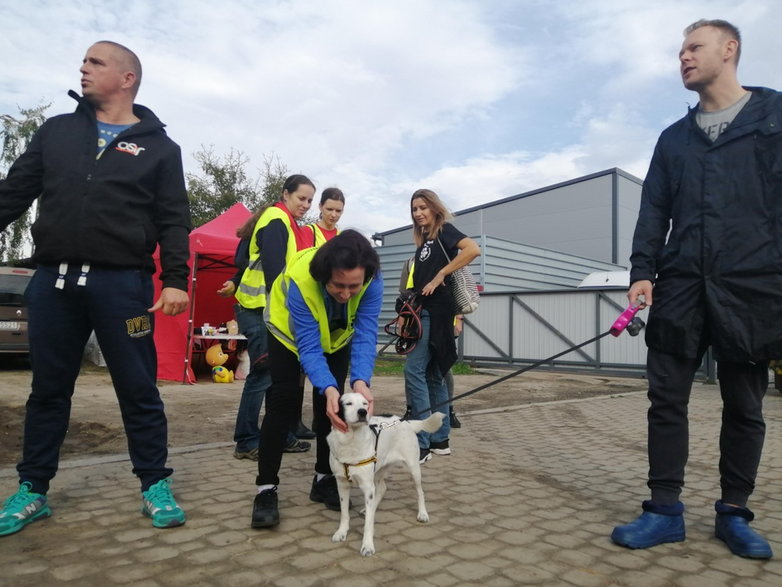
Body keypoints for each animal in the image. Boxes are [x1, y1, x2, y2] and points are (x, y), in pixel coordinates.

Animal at [328, 396, 444, 556]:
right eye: (348, 403)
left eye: (365, 403)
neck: (351, 441)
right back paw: (368, 509)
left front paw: (367, 545)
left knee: (420, 491)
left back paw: (422, 514)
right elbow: (344, 513)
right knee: (382, 489)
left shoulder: (367, 486)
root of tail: (406, 422)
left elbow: (368, 524)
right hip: (378, 470)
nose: (363, 412)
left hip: (413, 468)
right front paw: (341, 532)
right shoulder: (342, 484)